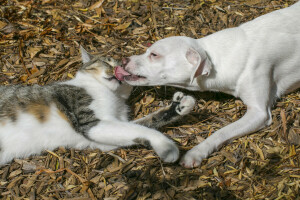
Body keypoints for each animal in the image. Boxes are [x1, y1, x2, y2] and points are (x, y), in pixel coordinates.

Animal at [0, 47, 196, 166]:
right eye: (107, 62)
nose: (118, 69)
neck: (112, 95)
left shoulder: (101, 137)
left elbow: (143, 125)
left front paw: (178, 106)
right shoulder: (91, 123)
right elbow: (145, 130)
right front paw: (166, 146)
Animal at [115, 2, 300, 168]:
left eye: (154, 54)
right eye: (147, 49)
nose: (123, 60)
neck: (219, 57)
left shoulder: (259, 112)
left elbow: (221, 131)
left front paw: (195, 152)